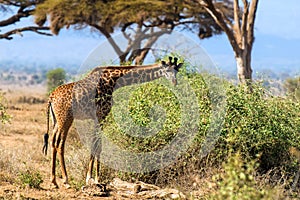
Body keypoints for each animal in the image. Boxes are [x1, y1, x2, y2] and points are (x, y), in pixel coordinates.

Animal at [42, 56, 183, 188]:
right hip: (65, 119)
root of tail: (51, 97)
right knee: (60, 144)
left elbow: (96, 145)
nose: (175, 82)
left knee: (53, 142)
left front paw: (93, 178)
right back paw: (65, 180)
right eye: (167, 70)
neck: (114, 80)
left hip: (56, 120)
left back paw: (54, 180)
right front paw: (93, 178)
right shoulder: (101, 115)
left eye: (177, 71)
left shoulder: (98, 117)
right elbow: (97, 145)